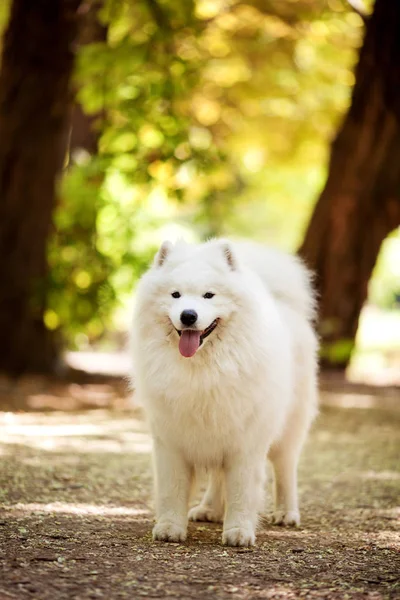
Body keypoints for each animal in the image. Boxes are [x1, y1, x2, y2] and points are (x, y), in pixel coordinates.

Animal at [131, 237, 318, 548]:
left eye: (209, 295)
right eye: (175, 295)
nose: (188, 315)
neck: (202, 369)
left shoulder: (245, 442)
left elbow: (242, 491)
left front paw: (239, 531)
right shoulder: (171, 440)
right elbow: (172, 489)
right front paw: (170, 527)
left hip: (288, 428)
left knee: (285, 469)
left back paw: (286, 513)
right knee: (219, 478)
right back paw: (209, 510)